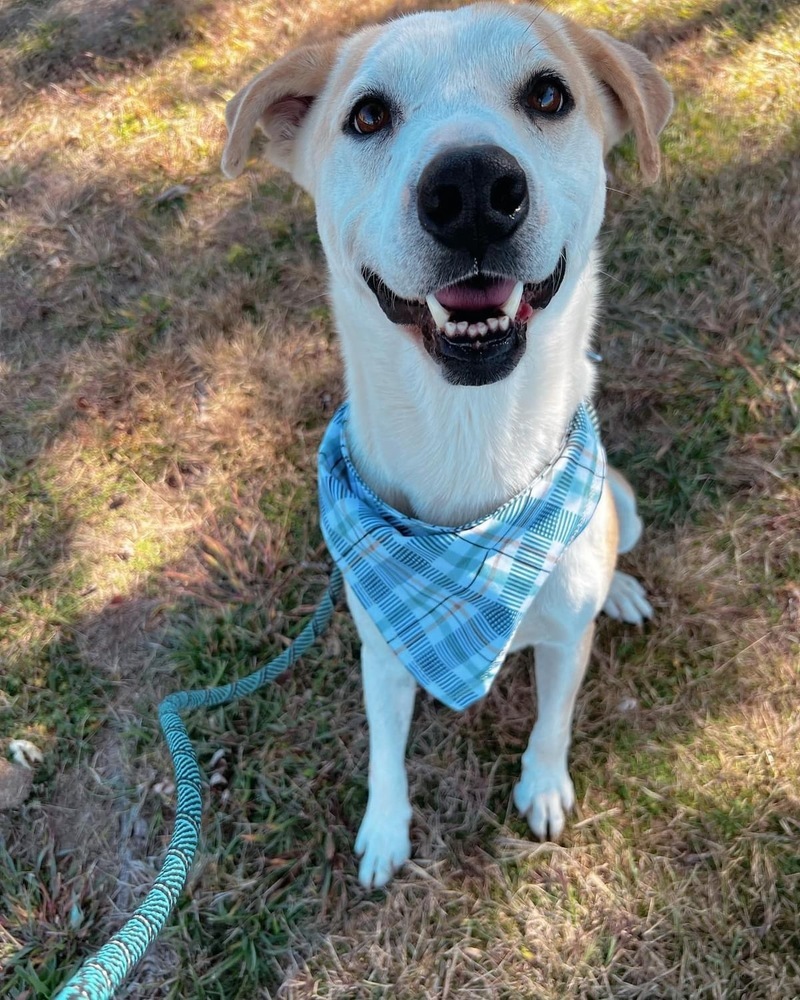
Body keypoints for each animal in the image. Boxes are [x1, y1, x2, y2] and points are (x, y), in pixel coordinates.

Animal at [222, 1, 672, 892]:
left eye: (548, 94)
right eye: (367, 116)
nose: (470, 192)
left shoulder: (565, 644)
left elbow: (553, 722)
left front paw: (543, 786)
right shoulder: (383, 653)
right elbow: (383, 752)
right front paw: (385, 829)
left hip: (625, 506)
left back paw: (623, 590)